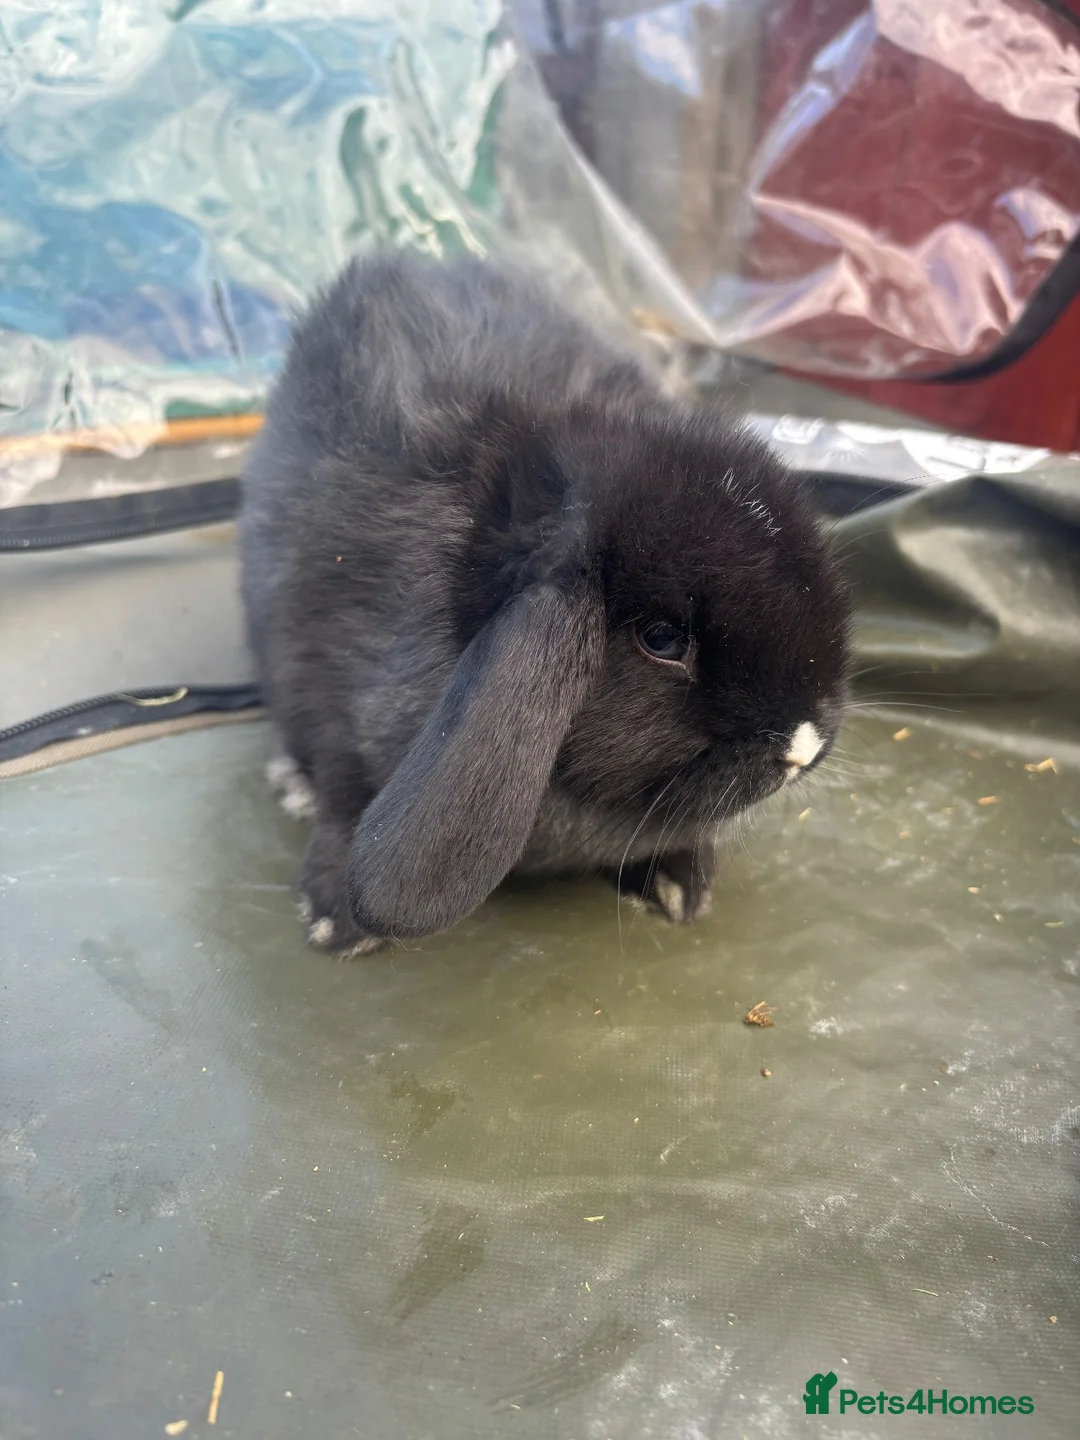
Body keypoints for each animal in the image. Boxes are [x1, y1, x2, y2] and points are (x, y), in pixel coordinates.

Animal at [239, 251, 852, 954]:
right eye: (663, 638)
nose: (804, 745)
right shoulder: (334, 694)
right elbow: (343, 793)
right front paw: (337, 918)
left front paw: (680, 883)